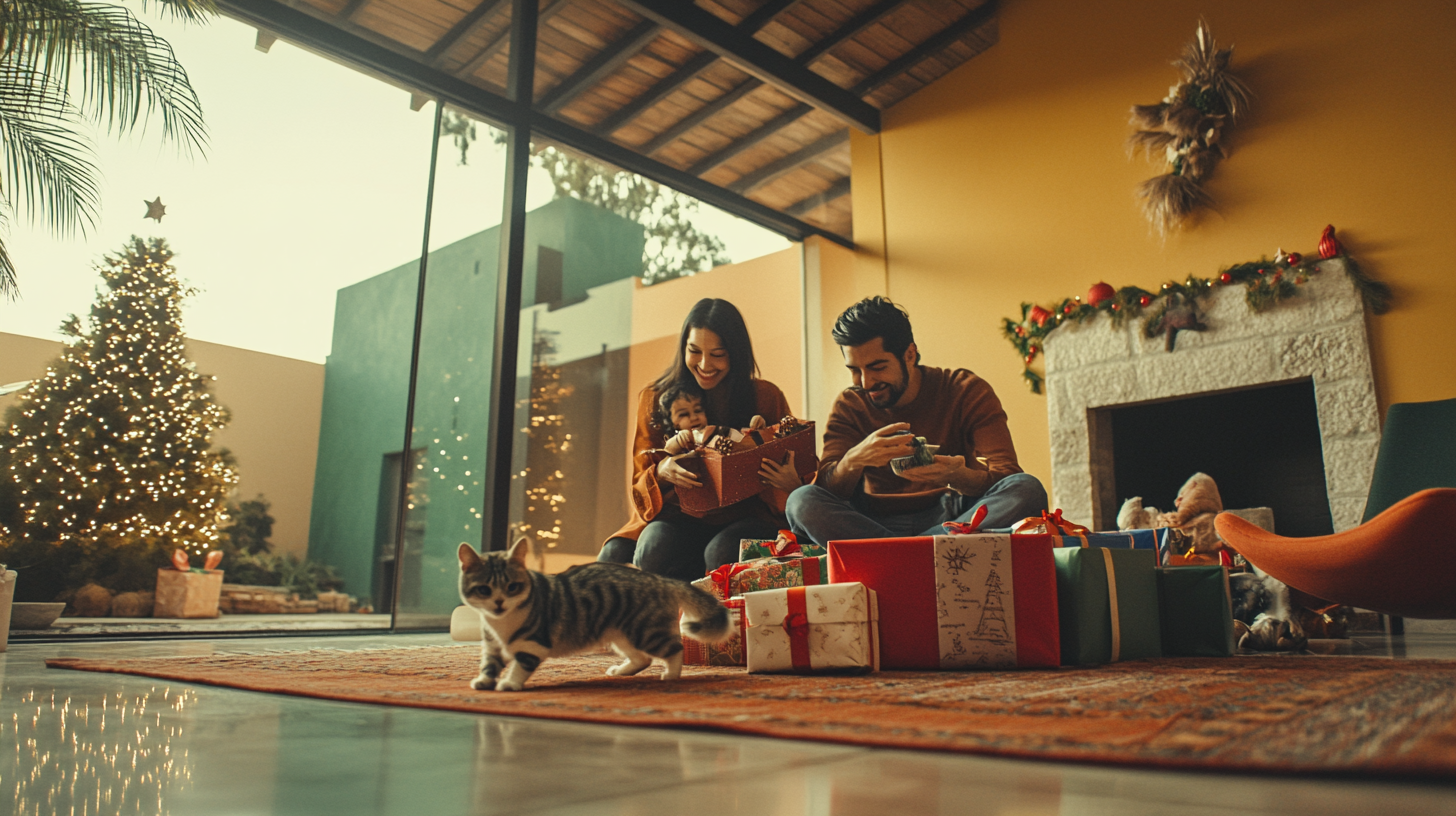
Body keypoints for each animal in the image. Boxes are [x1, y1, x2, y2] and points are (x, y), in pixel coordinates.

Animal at [454, 539, 728, 690]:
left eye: (512, 587)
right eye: (484, 589)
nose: (499, 603)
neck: (501, 625)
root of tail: (659, 579)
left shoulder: (534, 644)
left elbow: (520, 666)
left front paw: (509, 684)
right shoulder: (492, 646)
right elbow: (489, 665)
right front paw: (484, 681)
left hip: (645, 632)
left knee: (673, 650)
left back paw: (671, 674)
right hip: (620, 635)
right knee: (642, 659)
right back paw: (621, 671)